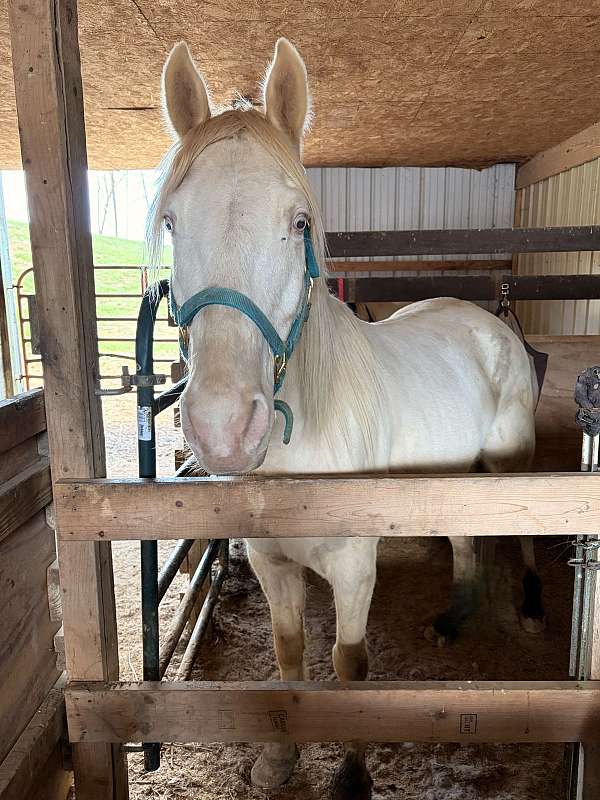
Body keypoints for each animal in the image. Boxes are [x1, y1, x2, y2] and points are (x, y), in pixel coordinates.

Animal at [149, 38, 545, 800]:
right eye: (172, 222)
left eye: (298, 223)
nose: (222, 427)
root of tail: (489, 321)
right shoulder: (273, 565)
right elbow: (289, 654)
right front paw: (280, 760)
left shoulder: (355, 567)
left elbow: (349, 667)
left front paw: (353, 776)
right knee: (465, 544)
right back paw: (453, 618)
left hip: (513, 467)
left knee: (526, 536)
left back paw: (534, 607)